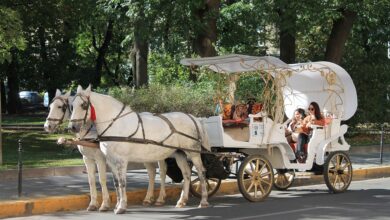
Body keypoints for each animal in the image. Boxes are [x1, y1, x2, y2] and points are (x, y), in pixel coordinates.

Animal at [42, 89, 171, 211]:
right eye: (50, 106)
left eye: (60, 107)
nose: (47, 126)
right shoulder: (87, 158)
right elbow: (91, 180)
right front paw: (93, 204)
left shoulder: (100, 158)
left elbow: (102, 179)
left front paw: (105, 204)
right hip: (145, 156)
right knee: (152, 172)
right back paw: (148, 198)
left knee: (162, 172)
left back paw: (160, 198)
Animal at [68, 85, 209, 214]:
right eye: (71, 106)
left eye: (83, 105)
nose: (72, 127)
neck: (116, 123)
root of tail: (192, 117)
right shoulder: (110, 160)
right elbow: (116, 183)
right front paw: (116, 205)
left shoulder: (120, 160)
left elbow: (122, 182)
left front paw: (121, 206)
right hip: (179, 153)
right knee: (186, 174)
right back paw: (181, 201)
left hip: (193, 152)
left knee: (201, 173)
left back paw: (203, 201)